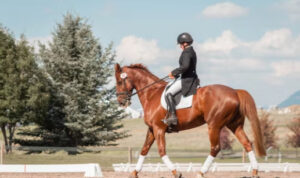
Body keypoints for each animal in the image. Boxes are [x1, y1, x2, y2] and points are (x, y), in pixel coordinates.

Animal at [114, 63, 264, 178]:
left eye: (120, 81)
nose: (121, 102)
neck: (151, 94)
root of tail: (234, 92)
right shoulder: (152, 128)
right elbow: (144, 149)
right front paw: (134, 172)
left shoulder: (159, 128)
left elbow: (161, 151)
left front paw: (176, 172)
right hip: (234, 125)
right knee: (247, 143)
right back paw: (255, 172)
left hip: (214, 125)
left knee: (215, 148)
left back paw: (200, 173)